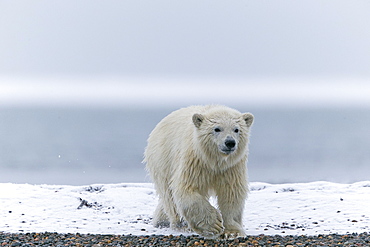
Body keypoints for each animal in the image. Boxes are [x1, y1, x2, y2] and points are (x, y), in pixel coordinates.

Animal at [145, 104, 254, 239]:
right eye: (217, 129)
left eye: (236, 129)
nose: (230, 142)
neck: (214, 161)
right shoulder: (195, 161)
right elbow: (186, 188)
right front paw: (214, 225)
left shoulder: (231, 167)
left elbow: (231, 192)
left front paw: (232, 231)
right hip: (162, 161)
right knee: (169, 196)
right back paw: (180, 224)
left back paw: (161, 219)